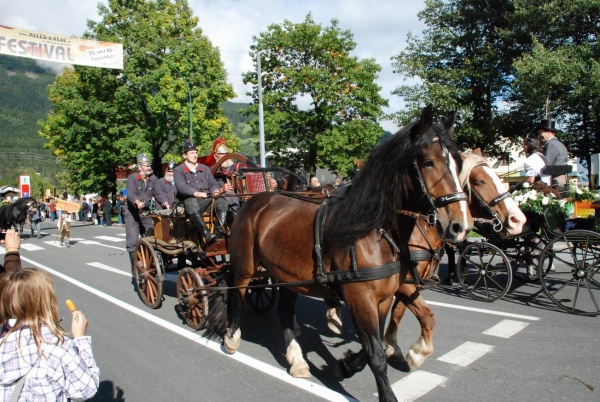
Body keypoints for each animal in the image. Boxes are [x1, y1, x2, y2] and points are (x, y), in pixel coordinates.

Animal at [206, 105, 474, 400]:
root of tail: (255, 200)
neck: (373, 230)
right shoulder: (361, 299)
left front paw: (346, 366)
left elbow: (376, 344)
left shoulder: (382, 299)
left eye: (458, 163)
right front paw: (386, 390)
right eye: (427, 162)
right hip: (245, 265)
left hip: (287, 275)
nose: (461, 226)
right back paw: (232, 338)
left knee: (285, 311)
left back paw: (297, 361)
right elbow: (376, 354)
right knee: (238, 293)